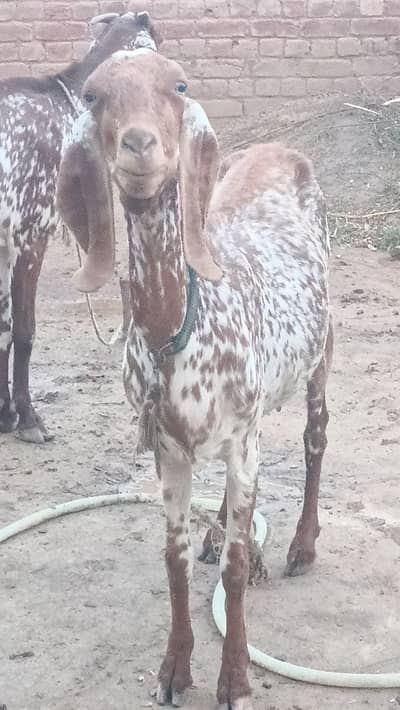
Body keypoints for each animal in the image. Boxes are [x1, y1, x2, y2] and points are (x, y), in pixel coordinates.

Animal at [0, 11, 158, 444]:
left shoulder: (5, 243)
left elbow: (3, 329)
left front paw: (5, 416)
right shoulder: (30, 234)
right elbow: (23, 329)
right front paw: (28, 419)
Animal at [56, 50, 333, 709]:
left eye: (178, 86)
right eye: (94, 94)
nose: (138, 144)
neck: (180, 324)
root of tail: (280, 147)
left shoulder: (240, 439)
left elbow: (235, 567)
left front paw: (233, 679)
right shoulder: (168, 449)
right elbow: (174, 559)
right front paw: (174, 669)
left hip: (321, 351)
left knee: (314, 440)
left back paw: (301, 546)